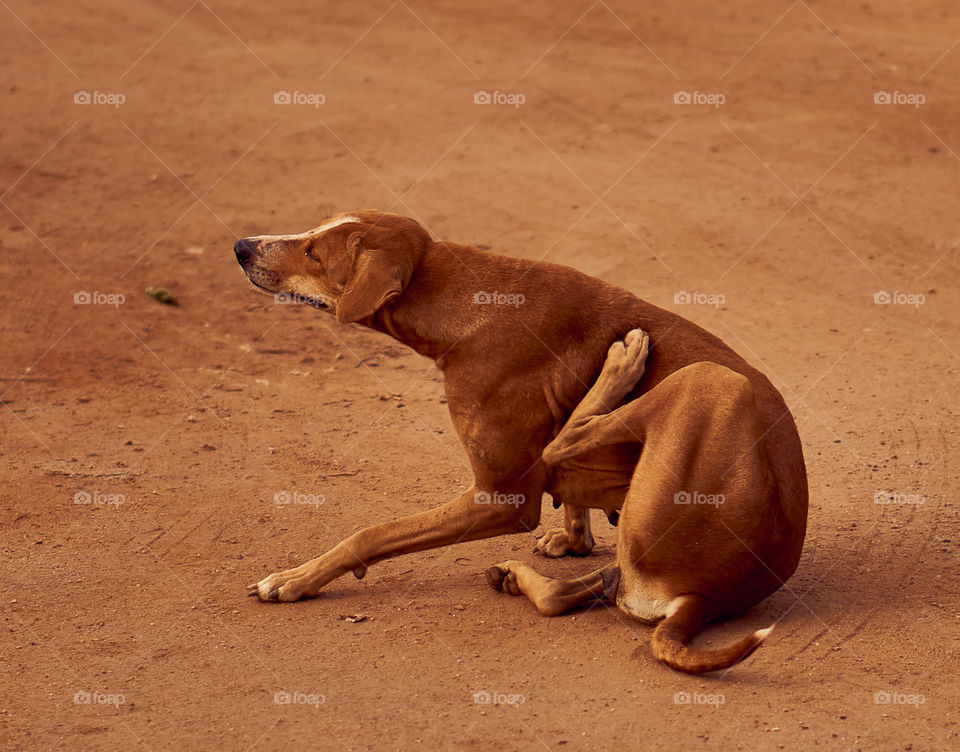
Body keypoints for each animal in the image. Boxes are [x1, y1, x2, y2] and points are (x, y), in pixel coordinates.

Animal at [236, 210, 808, 676]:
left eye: (314, 252)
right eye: (312, 231)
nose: (241, 245)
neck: (453, 295)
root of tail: (704, 600)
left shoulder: (500, 497)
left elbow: (370, 534)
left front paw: (296, 579)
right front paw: (572, 536)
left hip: (711, 381)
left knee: (564, 444)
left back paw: (620, 367)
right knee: (562, 591)